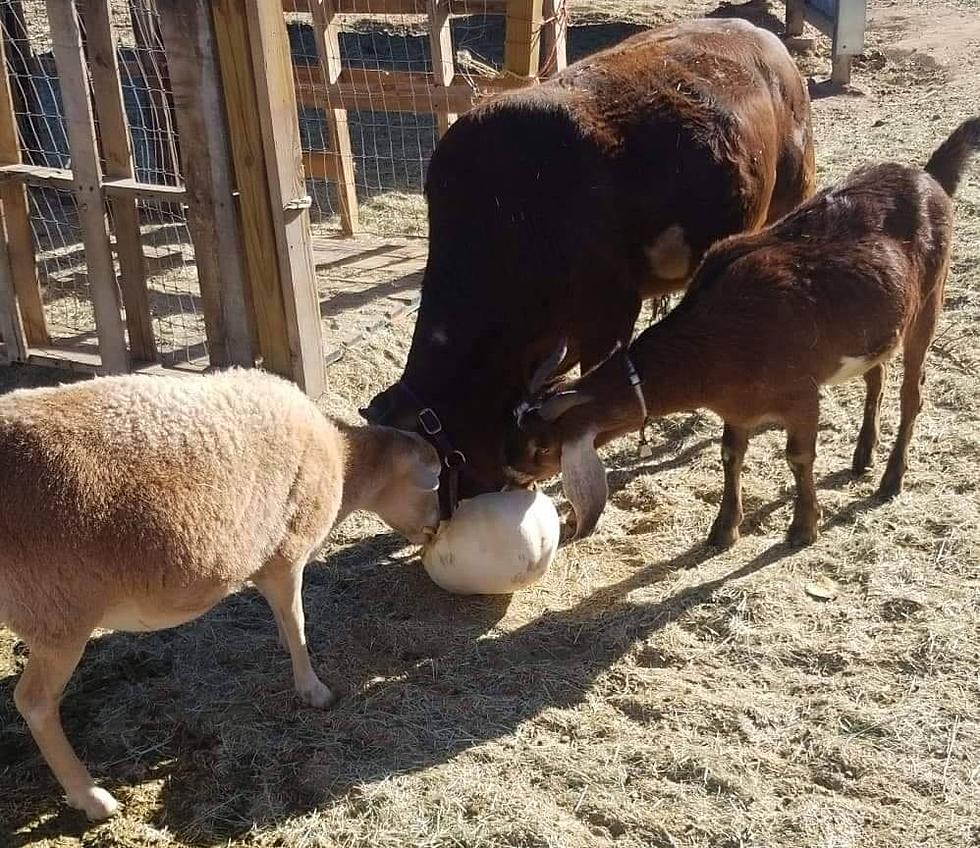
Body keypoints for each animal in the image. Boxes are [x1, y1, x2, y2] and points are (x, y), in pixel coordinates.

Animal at [0, 368, 440, 820]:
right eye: (433, 485)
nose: (438, 527)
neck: (343, 459)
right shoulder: (287, 553)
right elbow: (299, 621)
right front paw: (314, 691)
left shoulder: (266, 561)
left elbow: (285, 616)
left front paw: (285, 644)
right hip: (56, 613)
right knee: (34, 702)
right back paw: (91, 797)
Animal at [506, 116, 980, 548]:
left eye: (541, 448)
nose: (512, 477)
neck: (717, 340)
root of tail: (928, 177)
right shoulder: (736, 406)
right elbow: (730, 454)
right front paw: (723, 529)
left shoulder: (801, 393)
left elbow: (798, 456)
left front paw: (803, 527)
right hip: (878, 326)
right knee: (875, 376)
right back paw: (863, 455)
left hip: (930, 299)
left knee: (912, 392)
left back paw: (890, 479)